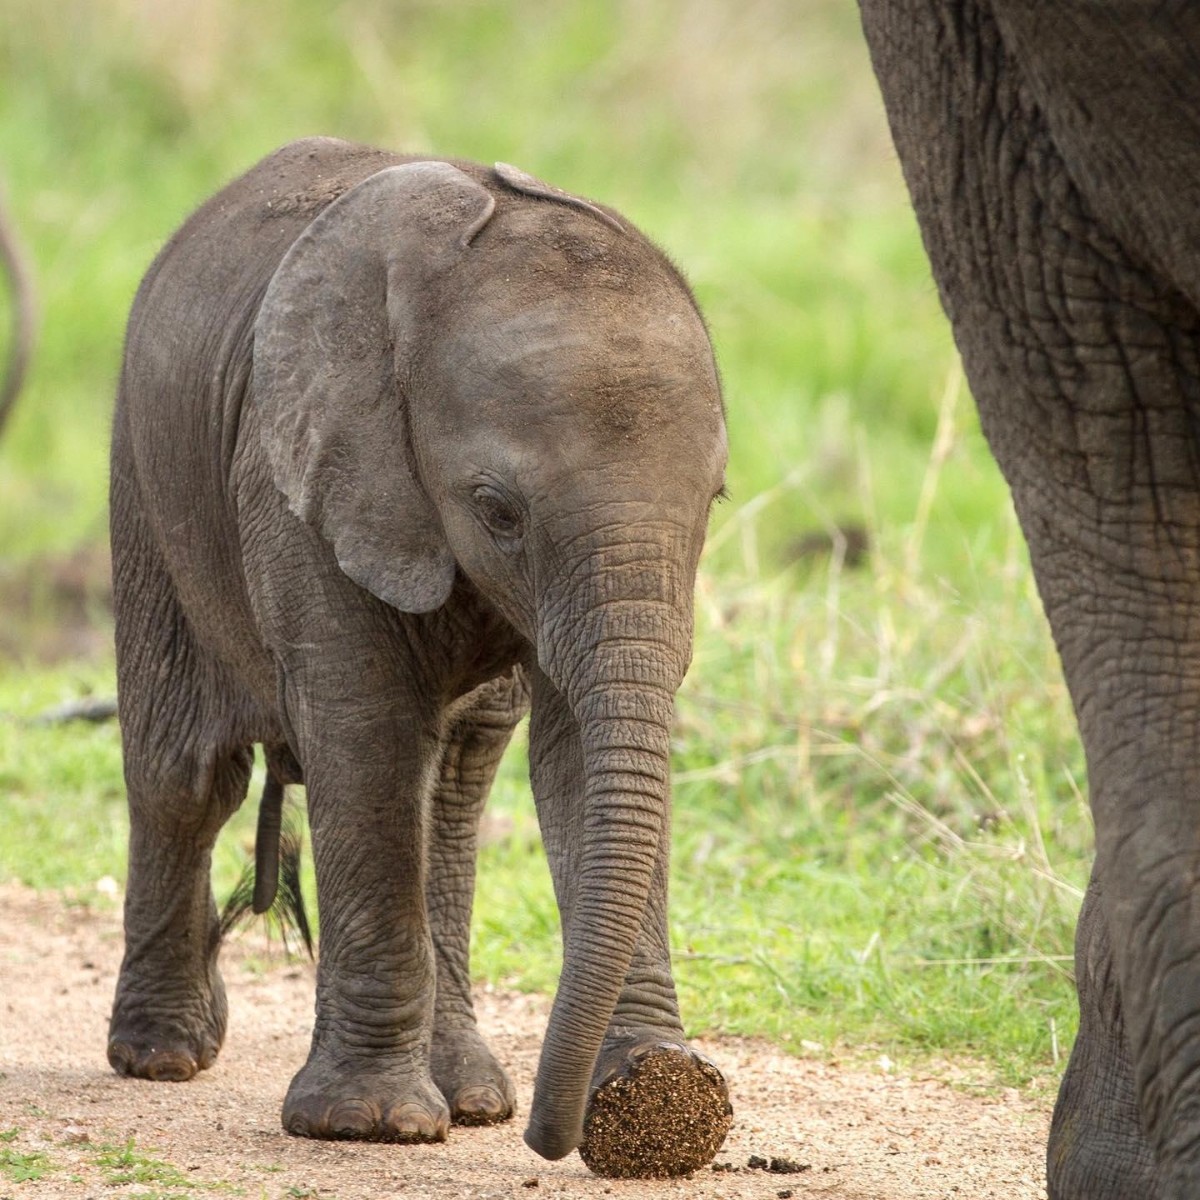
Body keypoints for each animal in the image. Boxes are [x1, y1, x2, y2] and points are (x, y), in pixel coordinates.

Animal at [105, 136, 732, 1179]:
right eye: (496, 509)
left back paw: (472, 1099)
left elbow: (572, 758)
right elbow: (365, 732)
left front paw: (657, 1104)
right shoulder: (303, 470)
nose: (550, 1138)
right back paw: (162, 1056)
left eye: (716, 498)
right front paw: (365, 1125)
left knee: (457, 783)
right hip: (145, 484)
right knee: (184, 777)